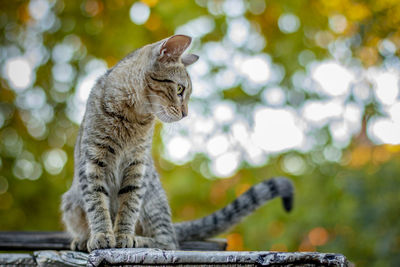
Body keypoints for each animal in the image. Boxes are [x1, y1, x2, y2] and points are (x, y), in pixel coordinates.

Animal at [61, 34, 296, 252]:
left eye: (186, 92)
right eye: (180, 89)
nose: (185, 113)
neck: (132, 117)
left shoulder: (137, 166)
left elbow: (128, 207)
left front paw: (124, 236)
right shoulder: (92, 161)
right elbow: (97, 204)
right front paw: (102, 235)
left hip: (152, 203)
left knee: (168, 241)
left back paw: (140, 240)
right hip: (71, 204)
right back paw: (83, 239)